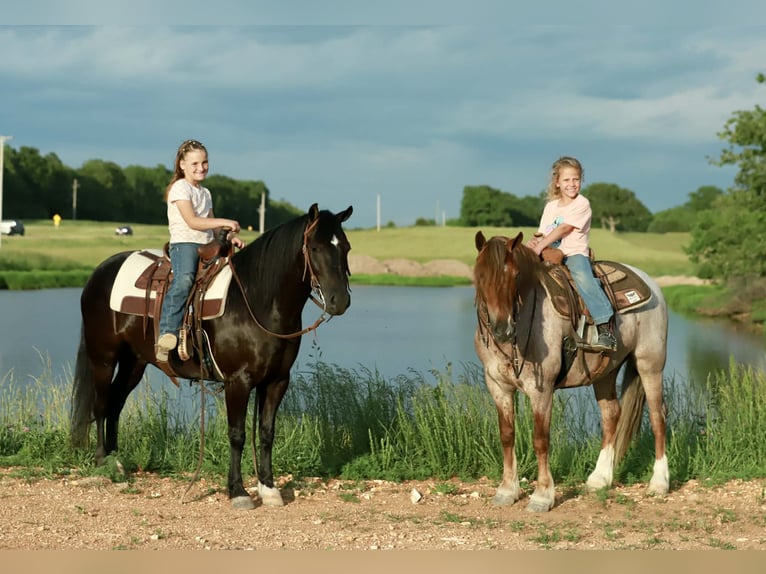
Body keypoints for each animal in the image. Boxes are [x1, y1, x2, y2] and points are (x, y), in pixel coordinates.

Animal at [71, 203, 353, 510]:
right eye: (314, 247)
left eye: (345, 246)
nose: (340, 300)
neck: (257, 300)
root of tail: (100, 272)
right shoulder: (238, 381)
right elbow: (237, 434)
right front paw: (238, 491)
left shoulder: (277, 381)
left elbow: (266, 433)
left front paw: (268, 488)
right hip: (104, 358)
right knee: (101, 405)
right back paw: (102, 461)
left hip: (134, 362)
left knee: (115, 404)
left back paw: (116, 460)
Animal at [472, 231, 669, 512]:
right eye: (480, 275)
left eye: (516, 275)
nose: (502, 329)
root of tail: (650, 283)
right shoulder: (498, 387)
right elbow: (507, 436)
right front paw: (507, 491)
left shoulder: (541, 391)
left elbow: (540, 440)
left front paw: (542, 496)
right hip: (606, 372)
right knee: (611, 415)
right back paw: (599, 479)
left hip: (650, 364)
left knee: (657, 416)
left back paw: (659, 483)